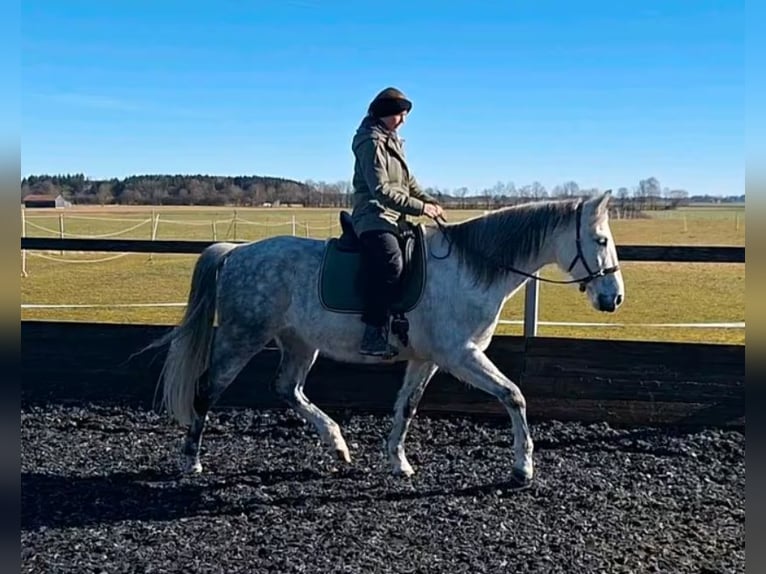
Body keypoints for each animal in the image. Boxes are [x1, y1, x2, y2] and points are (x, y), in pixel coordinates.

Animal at [142, 191, 624, 486]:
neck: (468, 270)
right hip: (241, 337)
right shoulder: (460, 356)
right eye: (600, 240)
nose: (614, 298)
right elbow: (514, 396)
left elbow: (406, 407)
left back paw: (337, 445)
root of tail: (237, 251)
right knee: (207, 390)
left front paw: (399, 462)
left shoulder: (427, 359)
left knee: (287, 388)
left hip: (299, 343)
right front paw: (523, 467)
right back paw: (191, 460)